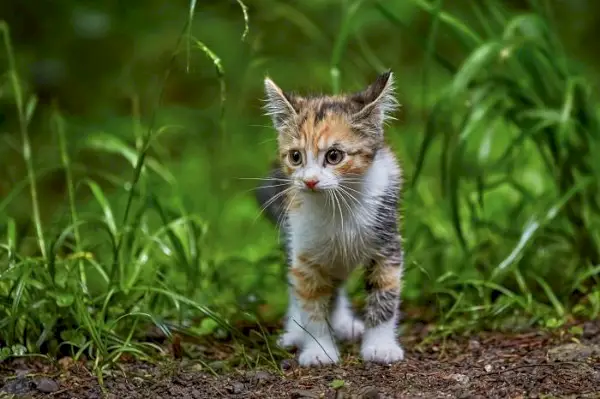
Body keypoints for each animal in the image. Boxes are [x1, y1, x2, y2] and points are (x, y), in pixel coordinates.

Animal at [255, 71, 406, 366]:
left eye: (334, 156)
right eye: (296, 157)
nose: (310, 181)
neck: (339, 206)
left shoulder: (387, 242)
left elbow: (385, 293)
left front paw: (380, 346)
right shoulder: (304, 251)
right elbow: (311, 302)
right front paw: (318, 349)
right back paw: (296, 332)